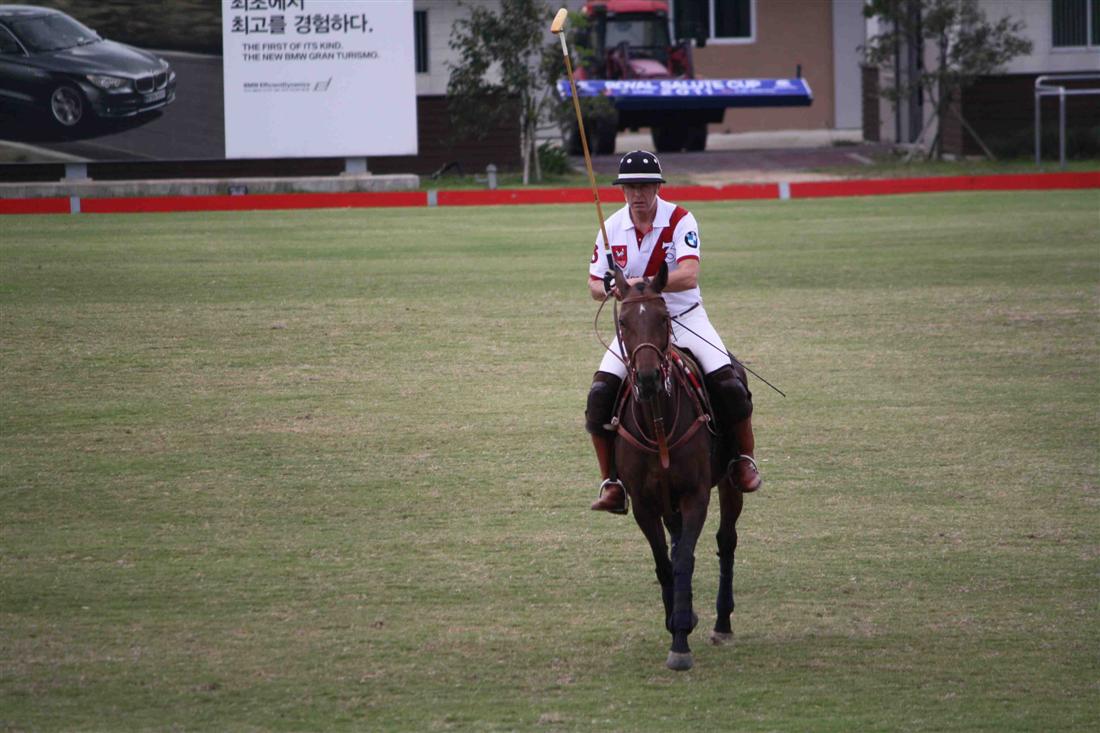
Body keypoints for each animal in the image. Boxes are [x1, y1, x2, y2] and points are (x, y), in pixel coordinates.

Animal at [608, 262, 744, 671]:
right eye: (623, 321)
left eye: (664, 317)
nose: (648, 378)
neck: (658, 421)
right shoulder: (643, 503)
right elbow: (664, 562)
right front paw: (676, 622)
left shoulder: (695, 494)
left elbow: (683, 559)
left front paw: (681, 643)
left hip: (729, 481)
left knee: (725, 540)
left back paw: (721, 622)